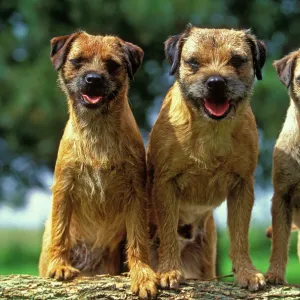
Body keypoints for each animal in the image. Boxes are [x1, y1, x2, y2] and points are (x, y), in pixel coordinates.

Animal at [38, 30, 158, 298]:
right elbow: (60, 229)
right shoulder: (63, 188)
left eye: (112, 65)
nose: (93, 78)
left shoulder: (136, 194)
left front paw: (142, 274)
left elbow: (138, 240)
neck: (97, 131)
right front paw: (59, 265)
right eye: (77, 61)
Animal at [146, 24, 266, 292]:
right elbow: (168, 231)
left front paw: (247, 272)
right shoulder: (165, 185)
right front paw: (169, 270)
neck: (211, 129)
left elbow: (240, 234)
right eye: (193, 62)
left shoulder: (243, 186)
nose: (216, 82)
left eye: (237, 60)